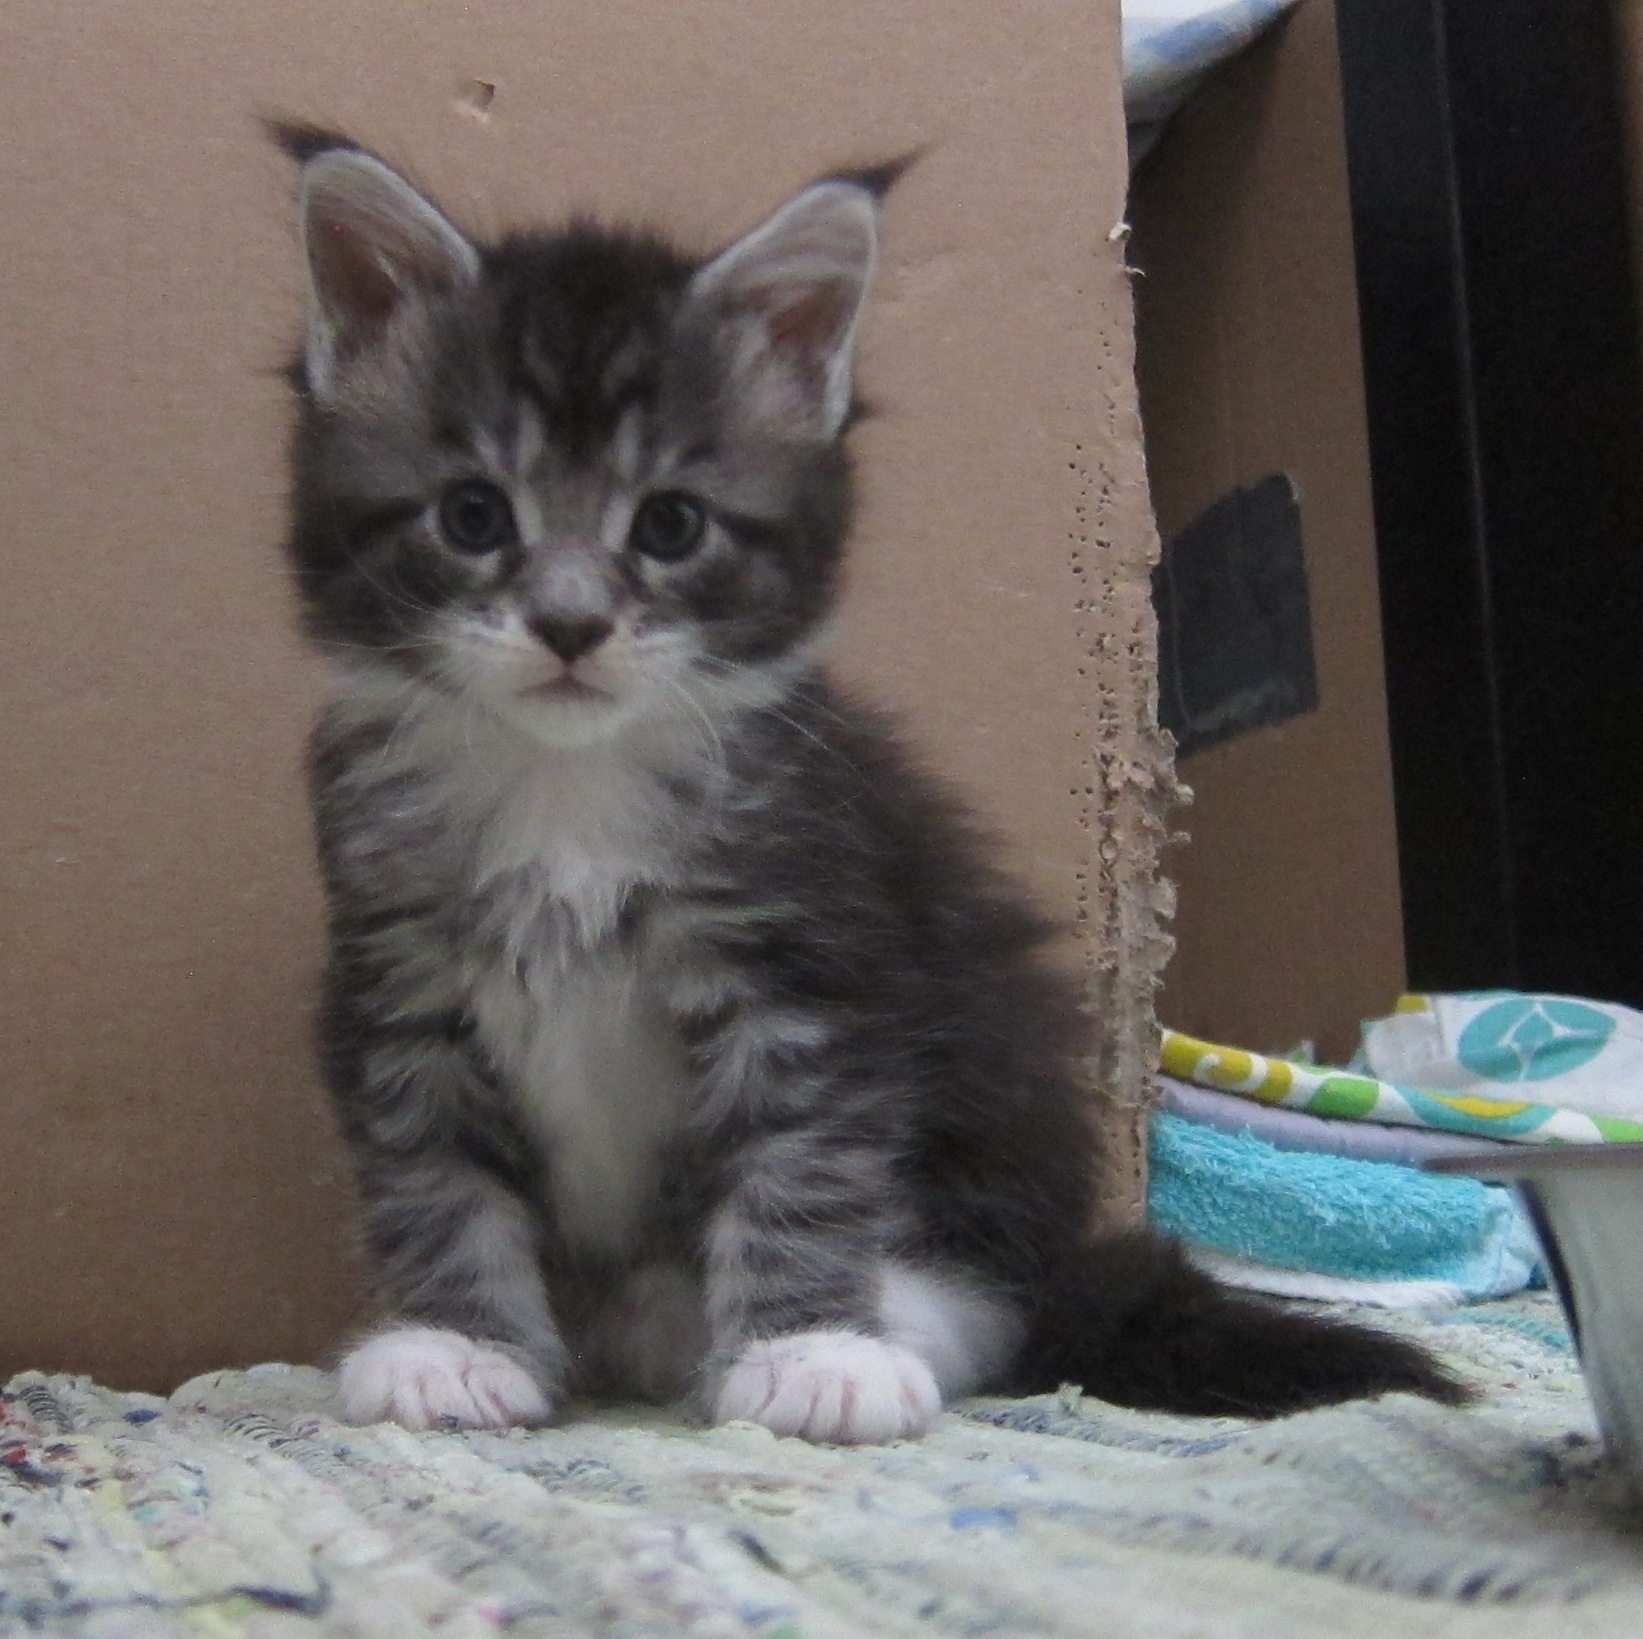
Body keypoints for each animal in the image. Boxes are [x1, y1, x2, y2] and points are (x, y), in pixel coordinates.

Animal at [273, 124, 1467, 1442]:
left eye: (670, 525)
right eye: (475, 515)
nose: (570, 626)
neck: (568, 784)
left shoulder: (814, 962)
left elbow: (802, 1166)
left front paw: (811, 1349)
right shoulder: (397, 980)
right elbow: (432, 1174)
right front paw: (453, 1341)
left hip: (992, 1084)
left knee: (998, 1303)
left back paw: (853, 1319)